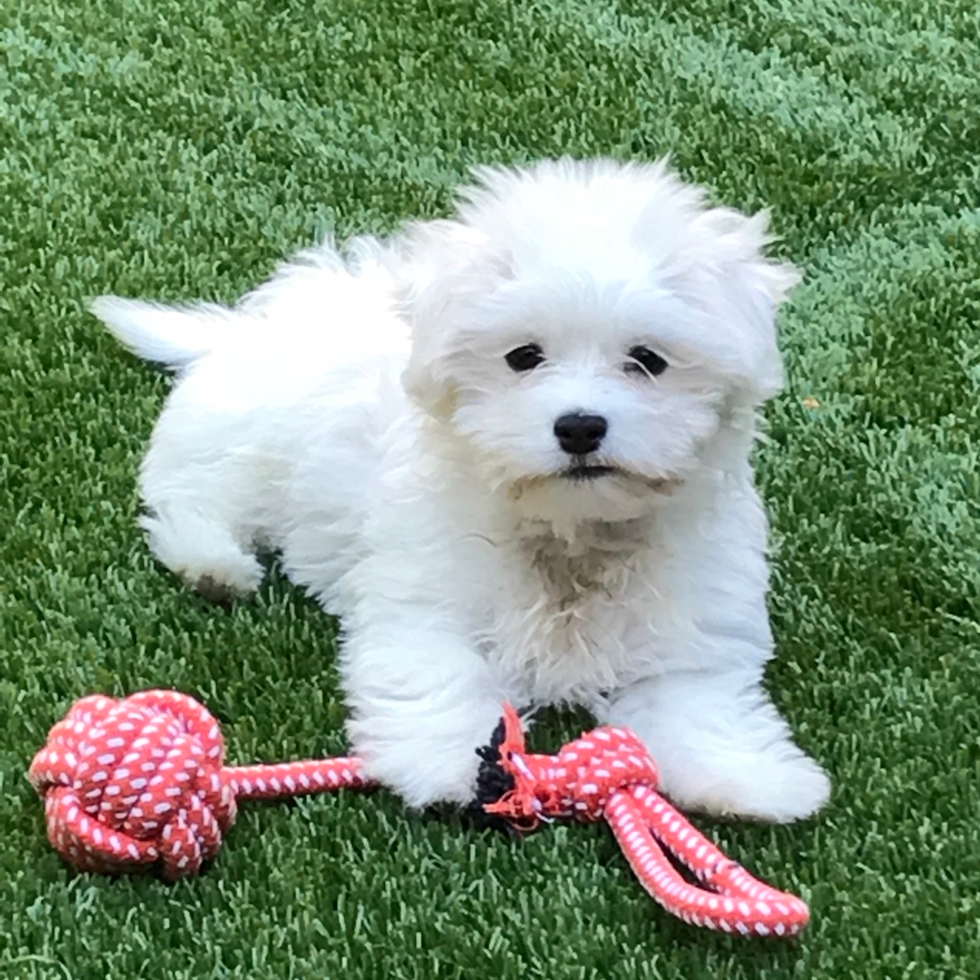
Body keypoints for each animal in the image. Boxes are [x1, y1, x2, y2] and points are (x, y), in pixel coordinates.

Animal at [92, 163, 832, 828]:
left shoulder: (689, 618)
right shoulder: (425, 596)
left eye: (647, 360)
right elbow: (439, 670)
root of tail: (257, 323)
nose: (580, 426)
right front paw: (451, 763)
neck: (570, 532)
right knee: (194, 493)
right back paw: (212, 564)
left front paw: (746, 779)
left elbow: (699, 703)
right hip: (237, 443)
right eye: (523, 356)